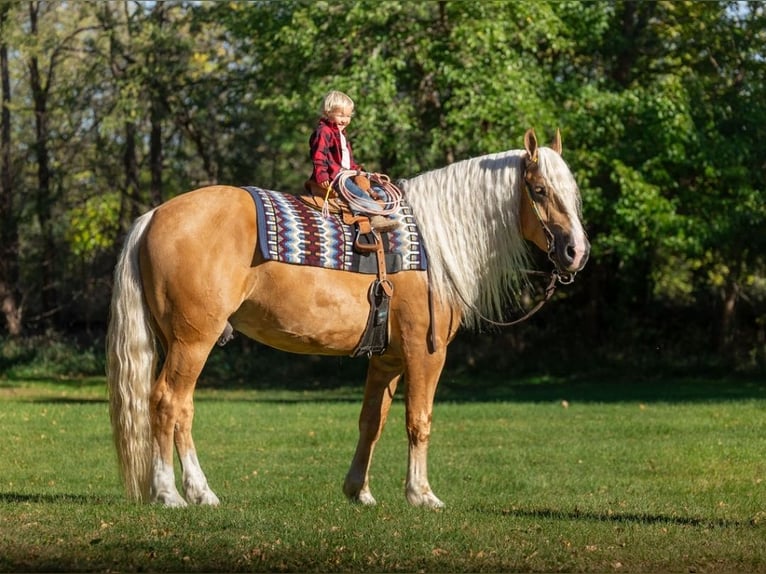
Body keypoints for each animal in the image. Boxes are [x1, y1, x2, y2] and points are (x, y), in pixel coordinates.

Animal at [106, 129, 588, 508]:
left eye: (574, 194)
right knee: (167, 402)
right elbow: (420, 420)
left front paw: (359, 491)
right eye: (540, 191)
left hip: (179, 342)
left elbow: (372, 421)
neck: (432, 247)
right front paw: (421, 494)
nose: (576, 252)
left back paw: (197, 491)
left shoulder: (388, 358)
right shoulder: (425, 352)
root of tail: (155, 215)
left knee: (180, 408)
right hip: (194, 340)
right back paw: (171, 494)